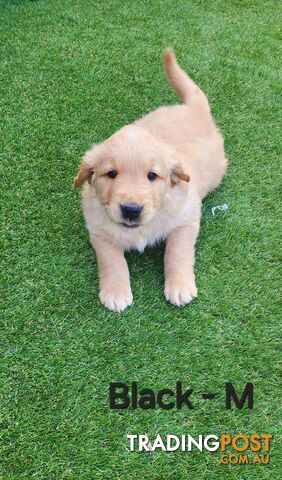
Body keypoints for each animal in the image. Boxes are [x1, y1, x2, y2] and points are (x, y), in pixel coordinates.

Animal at [73, 47, 227, 312]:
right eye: (111, 174)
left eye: (152, 176)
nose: (131, 210)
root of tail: (193, 107)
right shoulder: (97, 229)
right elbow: (111, 258)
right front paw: (116, 291)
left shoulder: (187, 217)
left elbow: (177, 251)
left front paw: (180, 286)